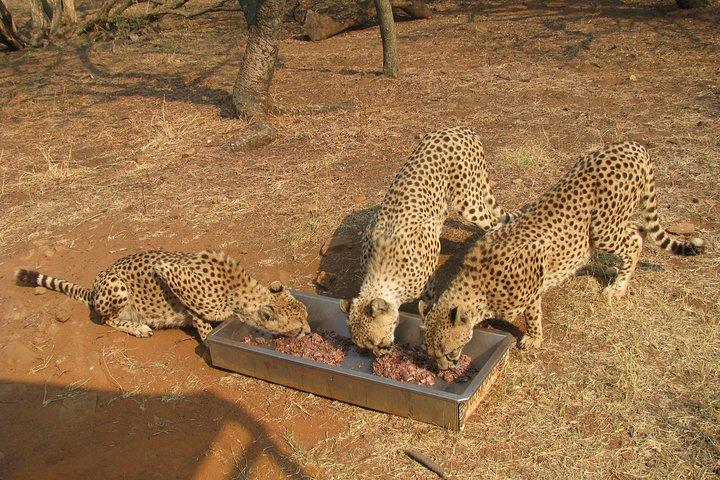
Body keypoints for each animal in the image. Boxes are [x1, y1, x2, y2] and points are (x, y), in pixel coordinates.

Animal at [15, 250, 311, 341]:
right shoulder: (171, 273)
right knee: (106, 319)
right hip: (116, 287)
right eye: (298, 326)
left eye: (307, 316)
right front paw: (206, 339)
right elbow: (199, 318)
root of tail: (95, 284)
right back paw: (136, 327)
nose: (308, 332)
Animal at [340, 126, 516, 357]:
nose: (380, 354)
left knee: (493, 222)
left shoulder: (431, 260)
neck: (382, 267)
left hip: (467, 202)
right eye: (363, 345)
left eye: (376, 341)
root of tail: (459, 128)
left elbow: (429, 297)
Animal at [419, 140, 705, 369]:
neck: (477, 285)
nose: (443, 369)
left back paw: (618, 287)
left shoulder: (534, 273)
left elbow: (532, 313)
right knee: (637, 231)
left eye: (448, 351)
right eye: (430, 352)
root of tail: (632, 145)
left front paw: (534, 338)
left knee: (634, 241)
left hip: (602, 229)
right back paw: (614, 272)